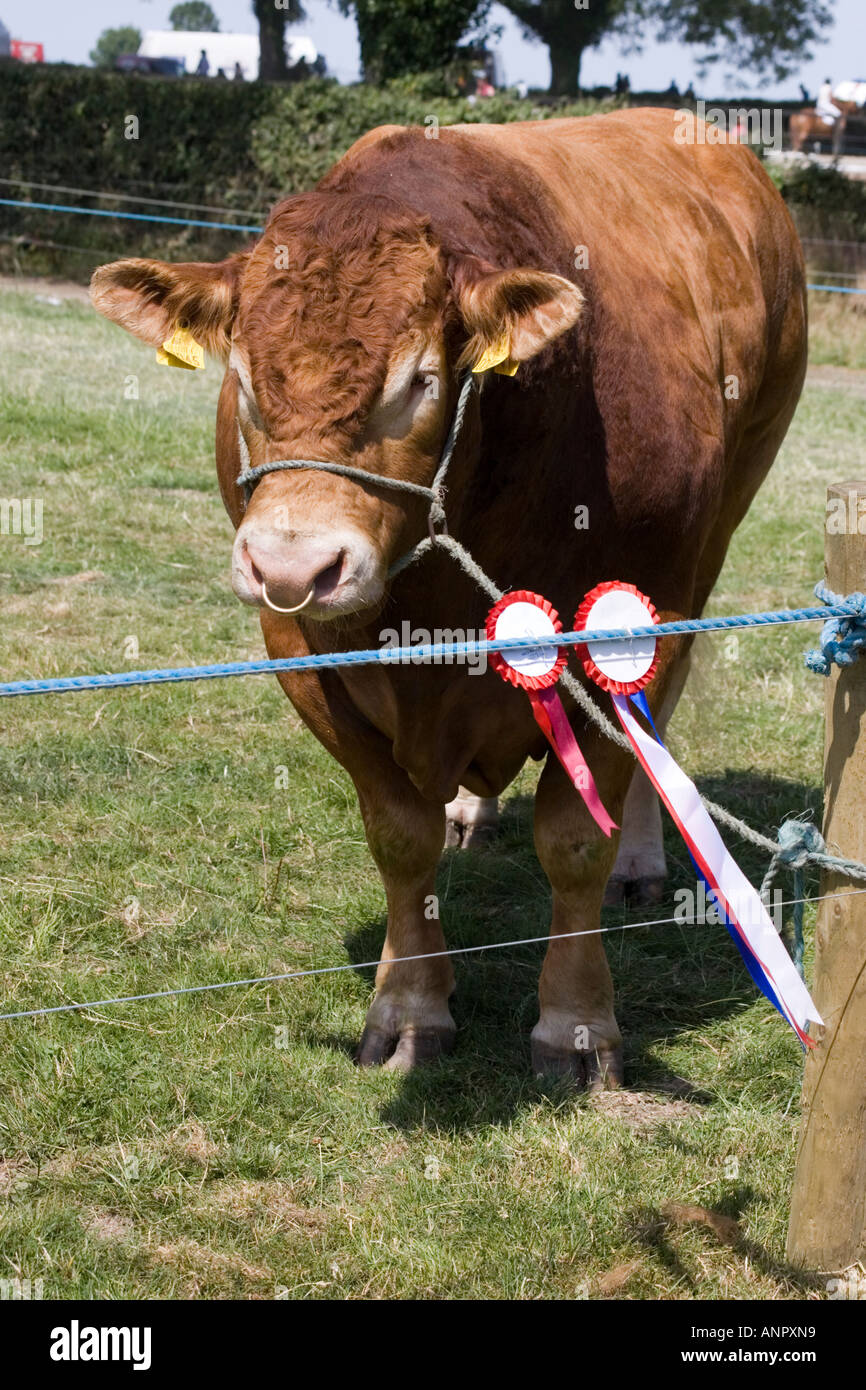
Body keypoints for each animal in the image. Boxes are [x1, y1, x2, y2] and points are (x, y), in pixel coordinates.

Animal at [91, 108, 811, 1084]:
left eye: (420, 382)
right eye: (241, 375)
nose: (292, 566)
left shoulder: (640, 610)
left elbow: (575, 839)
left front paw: (576, 1024)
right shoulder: (303, 651)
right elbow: (401, 836)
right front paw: (408, 1005)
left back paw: (640, 856)